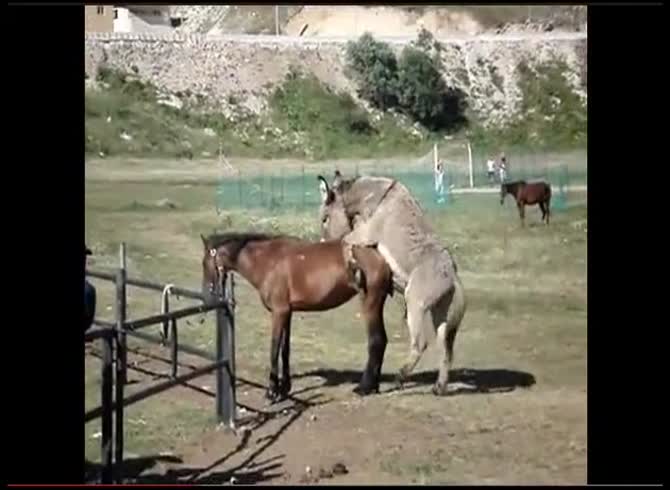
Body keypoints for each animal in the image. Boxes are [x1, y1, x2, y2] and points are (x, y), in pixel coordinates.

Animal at [200, 232, 394, 402]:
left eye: (204, 264)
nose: (207, 297)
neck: (268, 261)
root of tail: (380, 257)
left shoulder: (279, 312)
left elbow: (274, 348)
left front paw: (272, 391)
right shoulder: (288, 312)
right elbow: (285, 349)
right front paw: (284, 388)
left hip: (370, 303)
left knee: (376, 340)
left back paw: (364, 387)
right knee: (382, 340)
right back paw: (373, 386)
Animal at [317, 172, 467, 397]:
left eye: (325, 218)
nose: (322, 244)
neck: (375, 197)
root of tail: (452, 277)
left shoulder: (366, 233)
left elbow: (346, 241)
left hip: (414, 303)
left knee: (420, 344)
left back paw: (401, 377)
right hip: (441, 315)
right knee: (445, 349)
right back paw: (439, 387)